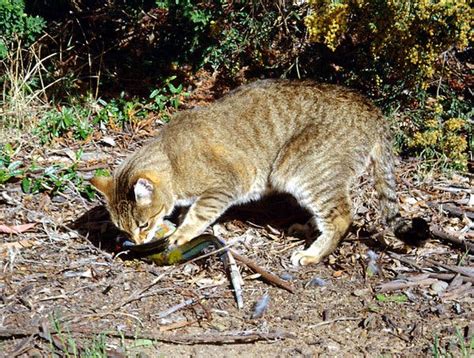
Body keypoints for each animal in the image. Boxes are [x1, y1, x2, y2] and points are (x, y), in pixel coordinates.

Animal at [90, 80, 428, 266]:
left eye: (143, 224)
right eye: (124, 228)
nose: (137, 239)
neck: (172, 160)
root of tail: (373, 110)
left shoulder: (224, 186)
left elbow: (198, 214)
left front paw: (181, 234)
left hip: (301, 170)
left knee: (342, 215)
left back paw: (313, 253)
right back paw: (307, 227)